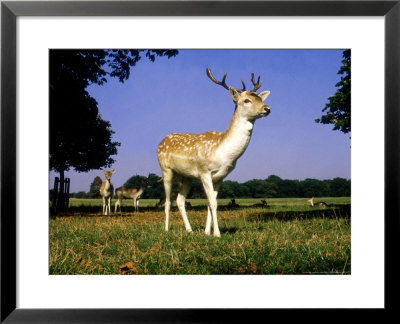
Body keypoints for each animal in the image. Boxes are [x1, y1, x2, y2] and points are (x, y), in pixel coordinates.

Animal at [157, 68, 272, 237]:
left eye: (259, 97)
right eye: (246, 100)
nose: (267, 108)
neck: (224, 153)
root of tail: (160, 142)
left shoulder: (220, 177)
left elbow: (211, 202)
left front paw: (207, 232)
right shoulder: (204, 171)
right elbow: (213, 202)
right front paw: (217, 234)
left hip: (186, 176)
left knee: (179, 200)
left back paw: (190, 230)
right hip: (166, 169)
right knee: (167, 200)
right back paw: (166, 229)